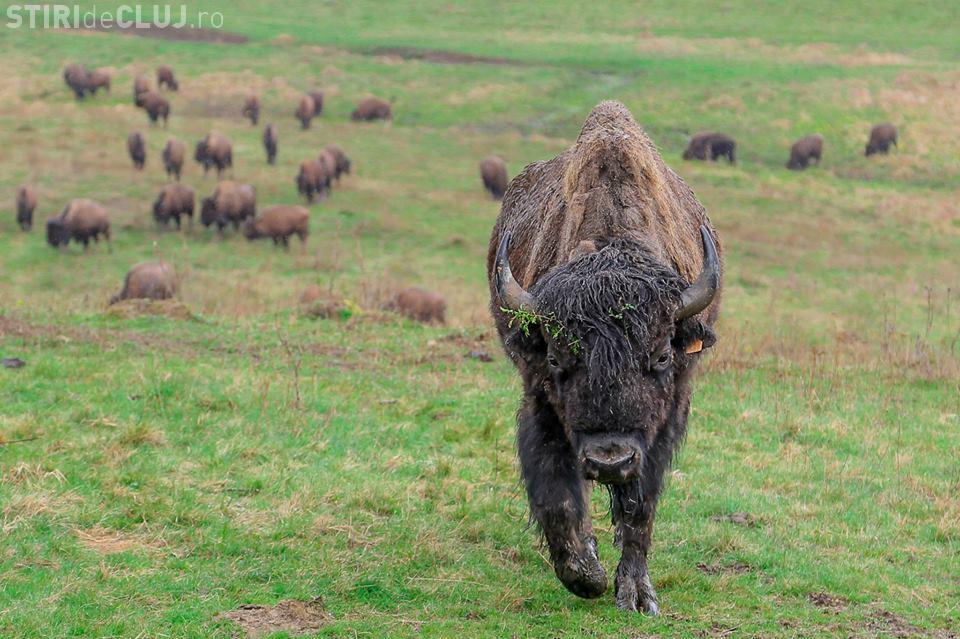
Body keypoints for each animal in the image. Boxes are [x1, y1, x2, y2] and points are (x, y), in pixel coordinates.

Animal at [487, 101, 722, 615]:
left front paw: (636, 595)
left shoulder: (665, 420)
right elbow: (558, 497)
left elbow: (639, 505)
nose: (609, 459)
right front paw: (587, 575)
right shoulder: (542, 405)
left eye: (660, 355)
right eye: (557, 358)